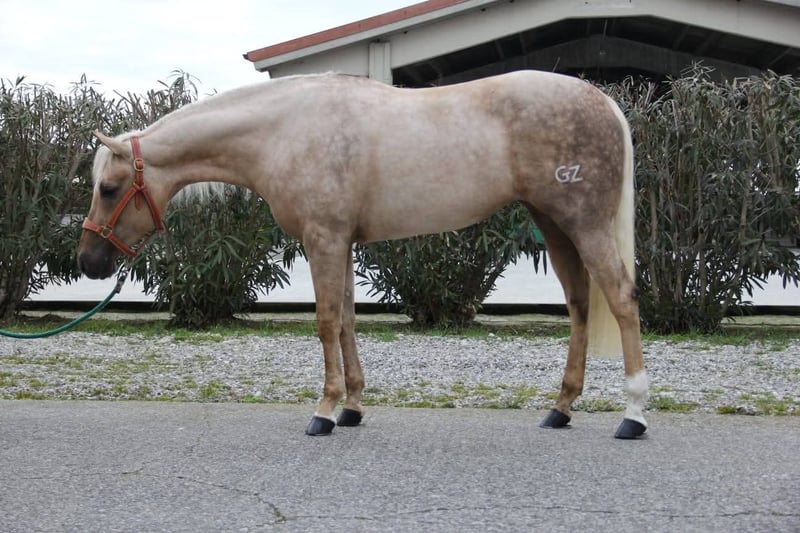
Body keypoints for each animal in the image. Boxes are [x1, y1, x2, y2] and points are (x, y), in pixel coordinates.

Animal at [78, 70, 648, 439]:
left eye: (108, 188)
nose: (88, 262)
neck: (284, 130)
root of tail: (603, 102)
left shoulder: (324, 238)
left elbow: (327, 321)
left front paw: (325, 411)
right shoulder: (343, 241)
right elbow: (349, 319)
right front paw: (352, 406)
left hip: (584, 225)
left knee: (621, 300)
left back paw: (634, 414)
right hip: (554, 226)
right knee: (579, 306)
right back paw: (561, 408)